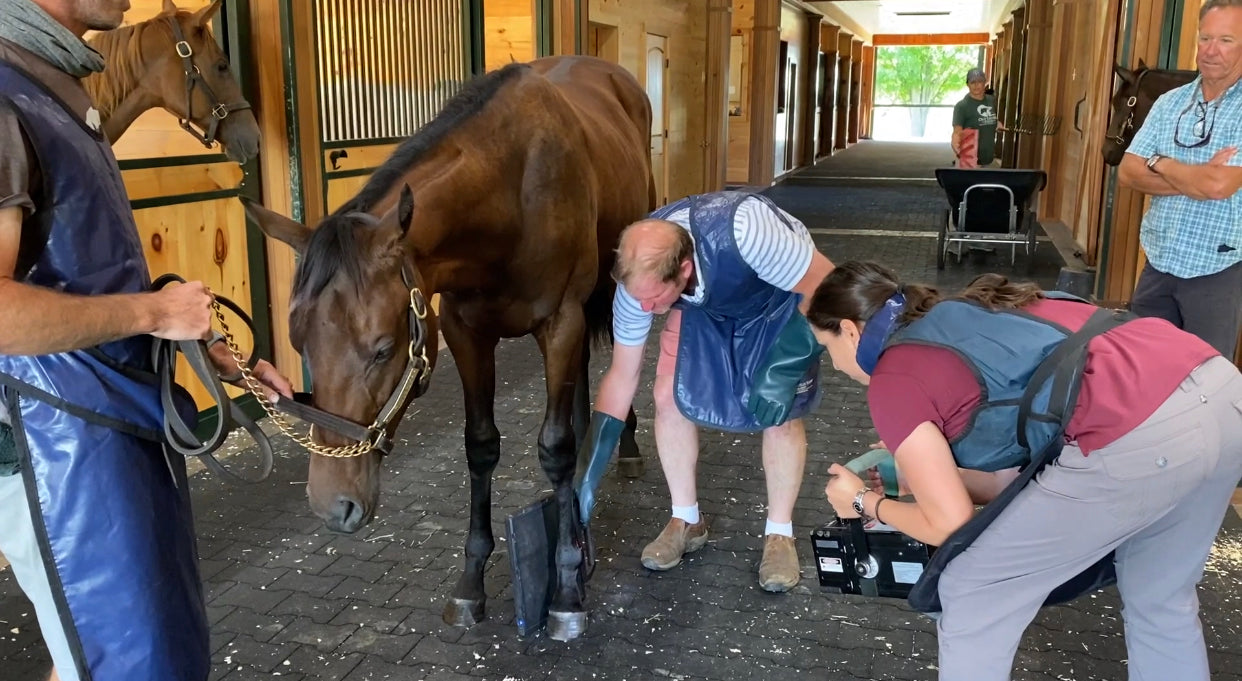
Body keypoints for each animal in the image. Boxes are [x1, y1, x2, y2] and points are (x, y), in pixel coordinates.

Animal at [239, 55, 650, 641]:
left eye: (382, 349)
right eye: (299, 341)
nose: (332, 505)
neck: (510, 195)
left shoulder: (561, 323)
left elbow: (555, 449)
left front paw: (567, 587)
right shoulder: (464, 331)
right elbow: (481, 447)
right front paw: (472, 582)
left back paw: (627, 447)